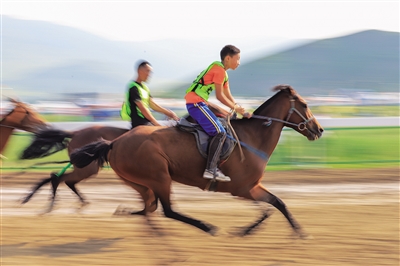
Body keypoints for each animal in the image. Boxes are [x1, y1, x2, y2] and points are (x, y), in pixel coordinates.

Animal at [70, 85, 324, 237]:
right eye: (304, 104)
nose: (319, 129)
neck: (253, 138)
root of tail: (115, 142)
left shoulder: (252, 186)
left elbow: (275, 204)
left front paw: (297, 231)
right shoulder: (241, 188)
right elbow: (269, 207)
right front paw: (246, 230)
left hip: (139, 182)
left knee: (149, 208)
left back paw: (126, 212)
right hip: (159, 176)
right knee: (168, 210)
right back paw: (206, 226)